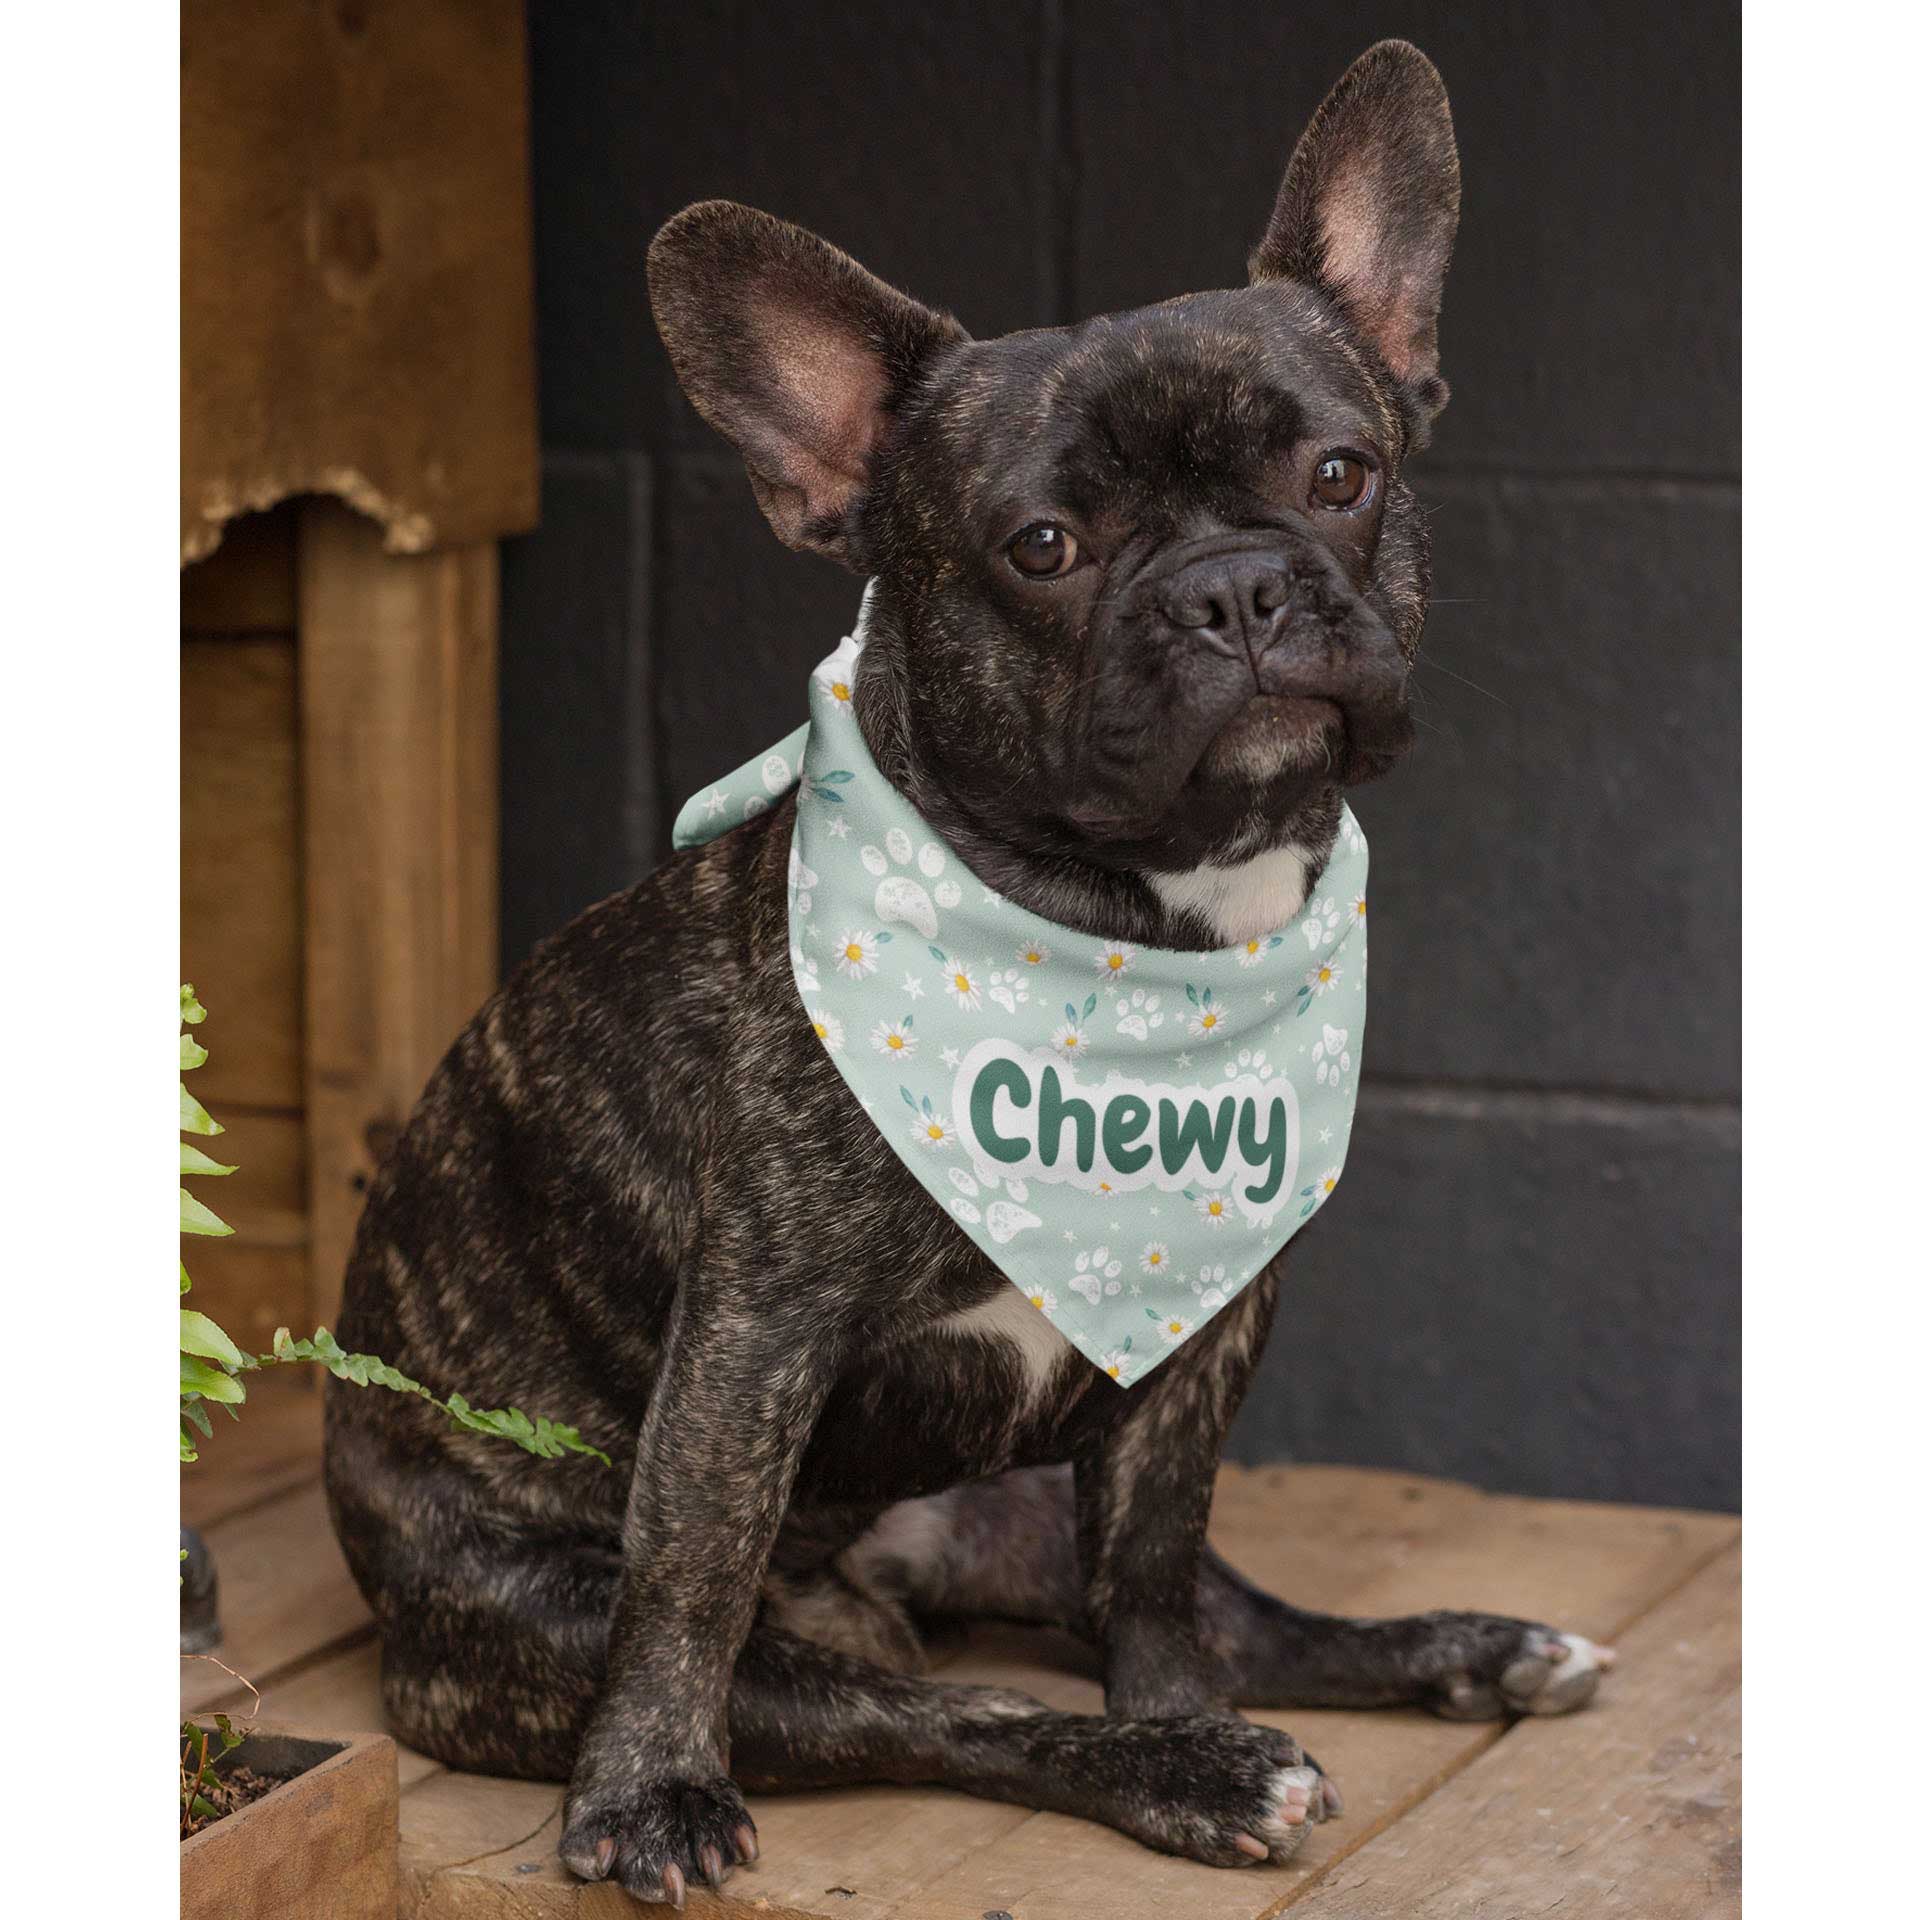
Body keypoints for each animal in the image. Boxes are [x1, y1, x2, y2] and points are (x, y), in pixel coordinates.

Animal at [322, 37, 1612, 1912]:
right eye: (1044, 547)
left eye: (1342, 475)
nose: (1235, 589)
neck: (1124, 928)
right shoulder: (755, 1331)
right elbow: (692, 1577)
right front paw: (644, 1794)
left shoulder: (1203, 1325)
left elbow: (1155, 1560)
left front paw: (1183, 1706)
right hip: (555, 1615)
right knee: (926, 1708)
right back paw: (1166, 1762)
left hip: (1027, 1494)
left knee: (1215, 1611)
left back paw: (1453, 1655)